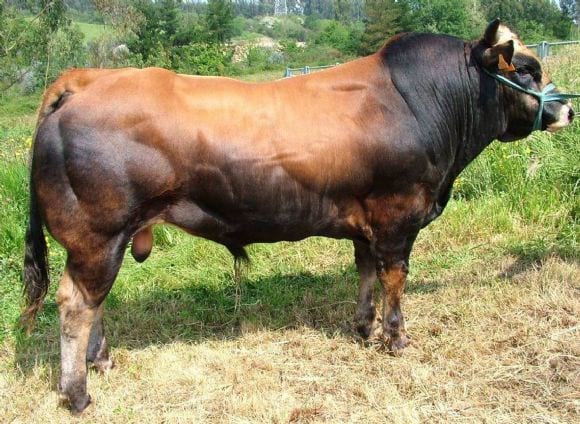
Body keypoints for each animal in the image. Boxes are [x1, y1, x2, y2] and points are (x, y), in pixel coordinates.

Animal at [21, 20, 576, 414]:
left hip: (104, 240)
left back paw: (102, 360)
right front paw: (396, 337)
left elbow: (365, 272)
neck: (423, 103)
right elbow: (394, 278)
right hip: (98, 235)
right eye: (526, 68)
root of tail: (85, 80)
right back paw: (77, 393)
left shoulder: (365, 219)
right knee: (76, 304)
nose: (566, 110)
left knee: (94, 302)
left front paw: (364, 327)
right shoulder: (398, 214)